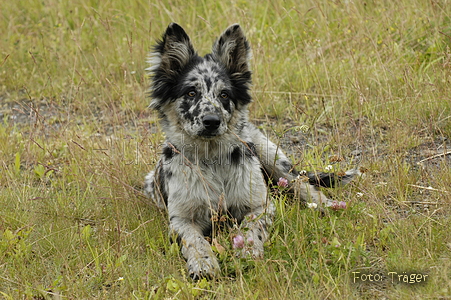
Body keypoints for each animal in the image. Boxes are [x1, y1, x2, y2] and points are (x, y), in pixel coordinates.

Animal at [145, 23, 360, 278]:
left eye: (224, 94)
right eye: (191, 93)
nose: (212, 121)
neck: (212, 160)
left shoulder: (260, 205)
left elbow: (251, 227)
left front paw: (247, 251)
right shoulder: (180, 217)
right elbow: (194, 239)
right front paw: (203, 263)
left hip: (273, 158)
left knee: (303, 185)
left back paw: (327, 205)